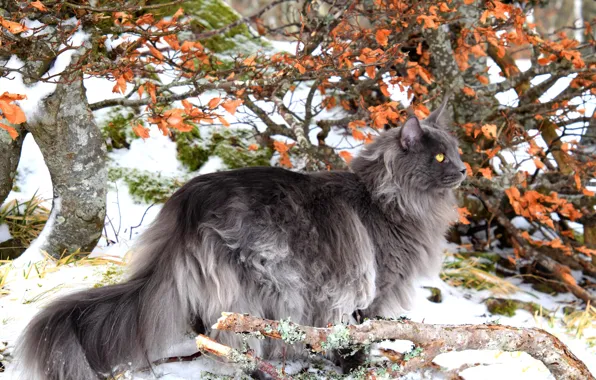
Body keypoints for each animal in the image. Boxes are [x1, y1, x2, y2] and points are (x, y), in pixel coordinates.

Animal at [16, 97, 468, 378]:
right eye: (440, 157)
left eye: (456, 153)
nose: (464, 170)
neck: (386, 200)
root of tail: (187, 206)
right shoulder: (367, 291)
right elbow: (355, 335)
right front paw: (358, 366)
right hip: (262, 281)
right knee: (237, 339)